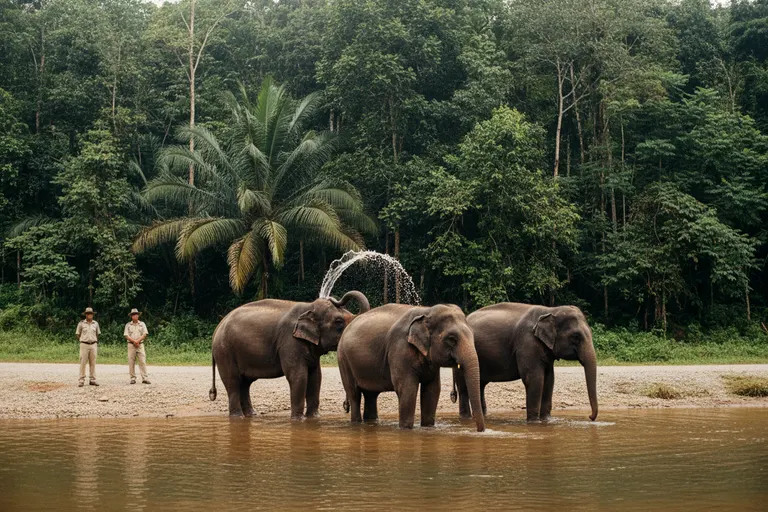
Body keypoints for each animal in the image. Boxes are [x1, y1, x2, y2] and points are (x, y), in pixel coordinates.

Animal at [209, 291, 370, 418]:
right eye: (339, 321)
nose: (333, 297)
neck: (309, 307)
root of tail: (218, 327)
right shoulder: (290, 342)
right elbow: (298, 376)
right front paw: (298, 420)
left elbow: (316, 377)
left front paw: (314, 418)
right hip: (224, 351)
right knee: (233, 381)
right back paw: (238, 417)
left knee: (244, 383)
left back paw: (251, 415)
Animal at [338, 303, 486, 432]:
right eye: (451, 339)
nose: (481, 431)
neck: (427, 311)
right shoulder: (400, 349)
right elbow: (407, 389)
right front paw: (406, 429)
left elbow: (432, 390)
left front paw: (428, 427)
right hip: (343, 360)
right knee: (354, 394)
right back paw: (356, 423)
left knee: (371, 395)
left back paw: (371, 423)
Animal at [452, 303, 598, 422]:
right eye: (576, 337)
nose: (590, 417)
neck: (550, 310)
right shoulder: (527, 343)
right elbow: (534, 379)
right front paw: (534, 422)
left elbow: (549, 379)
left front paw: (547, 420)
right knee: (464, 388)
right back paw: (466, 418)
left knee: (479, 385)